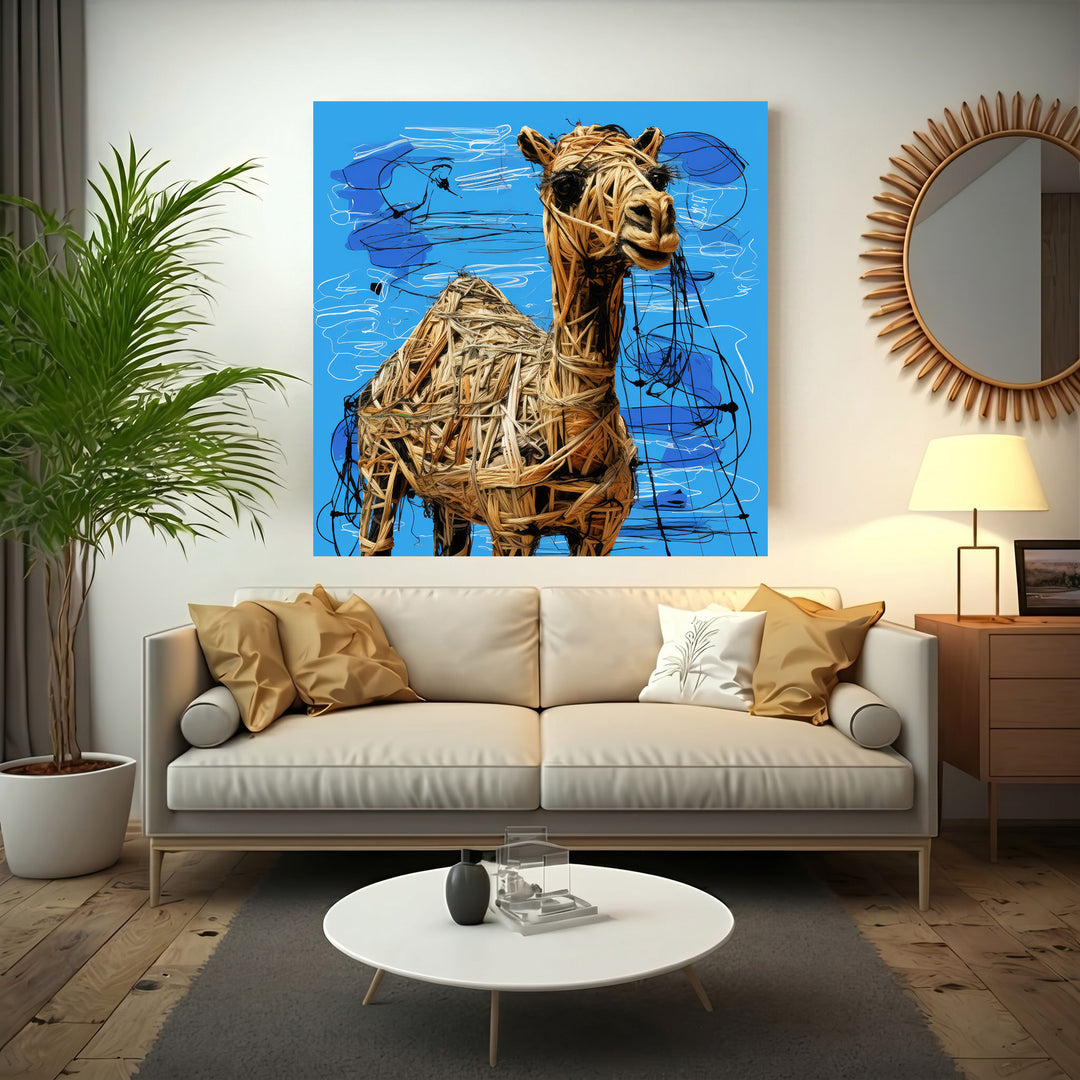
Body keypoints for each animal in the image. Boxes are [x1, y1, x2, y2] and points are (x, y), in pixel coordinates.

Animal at [352, 122, 680, 556]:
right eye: (565, 183)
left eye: (658, 178)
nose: (657, 218)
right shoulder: (511, 522)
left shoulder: (601, 526)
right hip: (380, 465)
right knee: (376, 539)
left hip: (451, 493)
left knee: (451, 542)